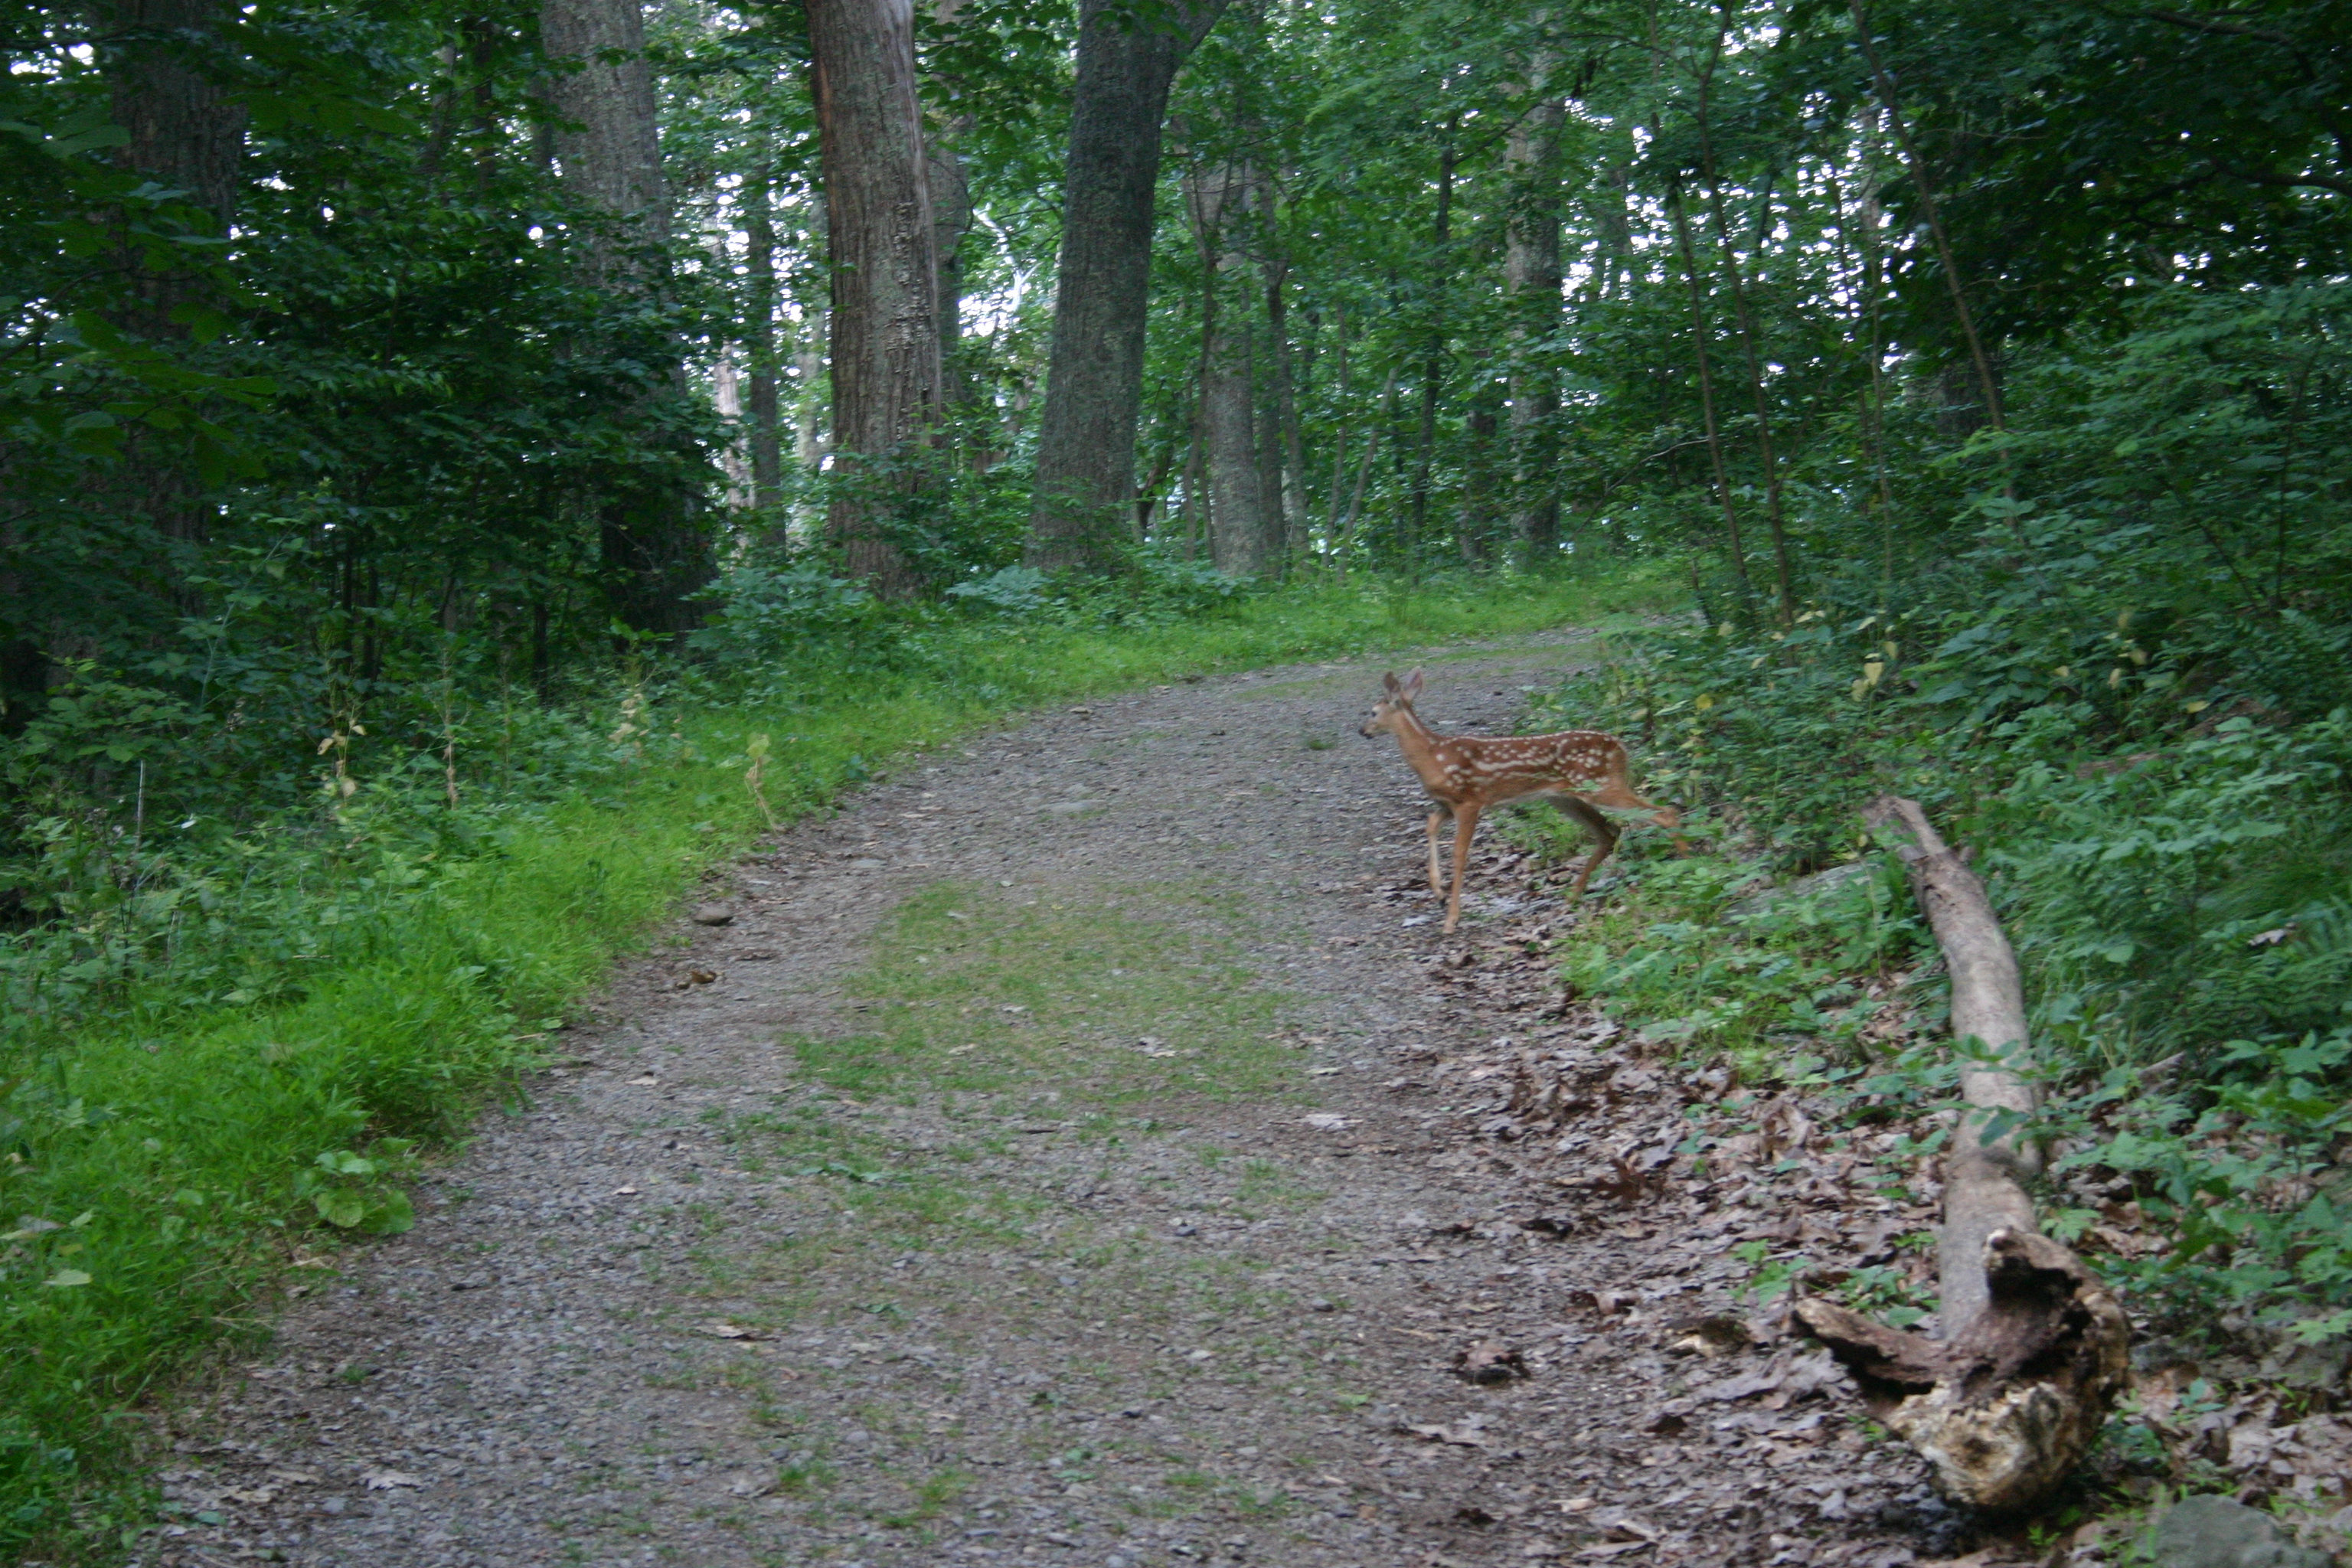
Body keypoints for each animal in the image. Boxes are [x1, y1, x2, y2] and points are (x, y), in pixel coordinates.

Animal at [1359, 668, 1685, 934]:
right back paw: (1571, 897)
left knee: (1663, 813)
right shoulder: (1446, 804)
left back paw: (1688, 863)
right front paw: (1439, 894)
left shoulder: (1470, 801)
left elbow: (1460, 855)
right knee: (1609, 832)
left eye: (1373, 712)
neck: (1431, 756)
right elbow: (1430, 826)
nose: (1362, 731)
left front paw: (1451, 919)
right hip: (1565, 798)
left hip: (1600, 785)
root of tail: (1621, 748)